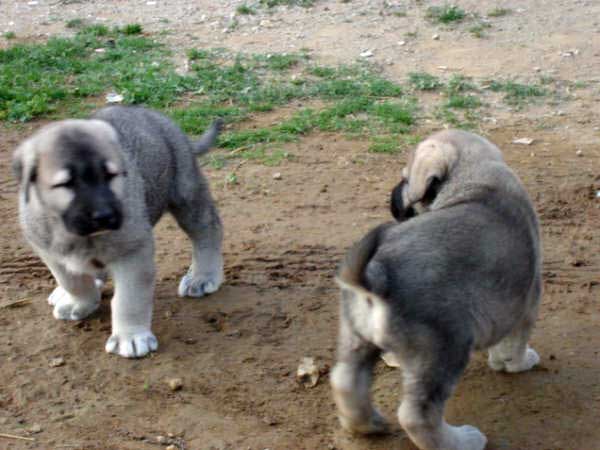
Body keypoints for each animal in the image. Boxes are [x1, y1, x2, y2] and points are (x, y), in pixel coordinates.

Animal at [14, 105, 225, 358]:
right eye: (66, 184)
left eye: (111, 176)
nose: (105, 215)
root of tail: (152, 115)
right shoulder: (49, 251)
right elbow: (72, 281)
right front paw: (80, 302)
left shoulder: (133, 253)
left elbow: (129, 299)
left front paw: (131, 337)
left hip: (185, 194)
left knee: (208, 230)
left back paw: (202, 277)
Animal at [330, 129, 540, 450]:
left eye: (405, 178)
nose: (391, 198)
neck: (476, 179)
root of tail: (376, 278)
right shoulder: (524, 305)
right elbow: (513, 346)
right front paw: (519, 362)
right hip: (444, 350)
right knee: (417, 416)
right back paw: (462, 440)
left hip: (357, 339)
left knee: (345, 381)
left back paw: (367, 425)